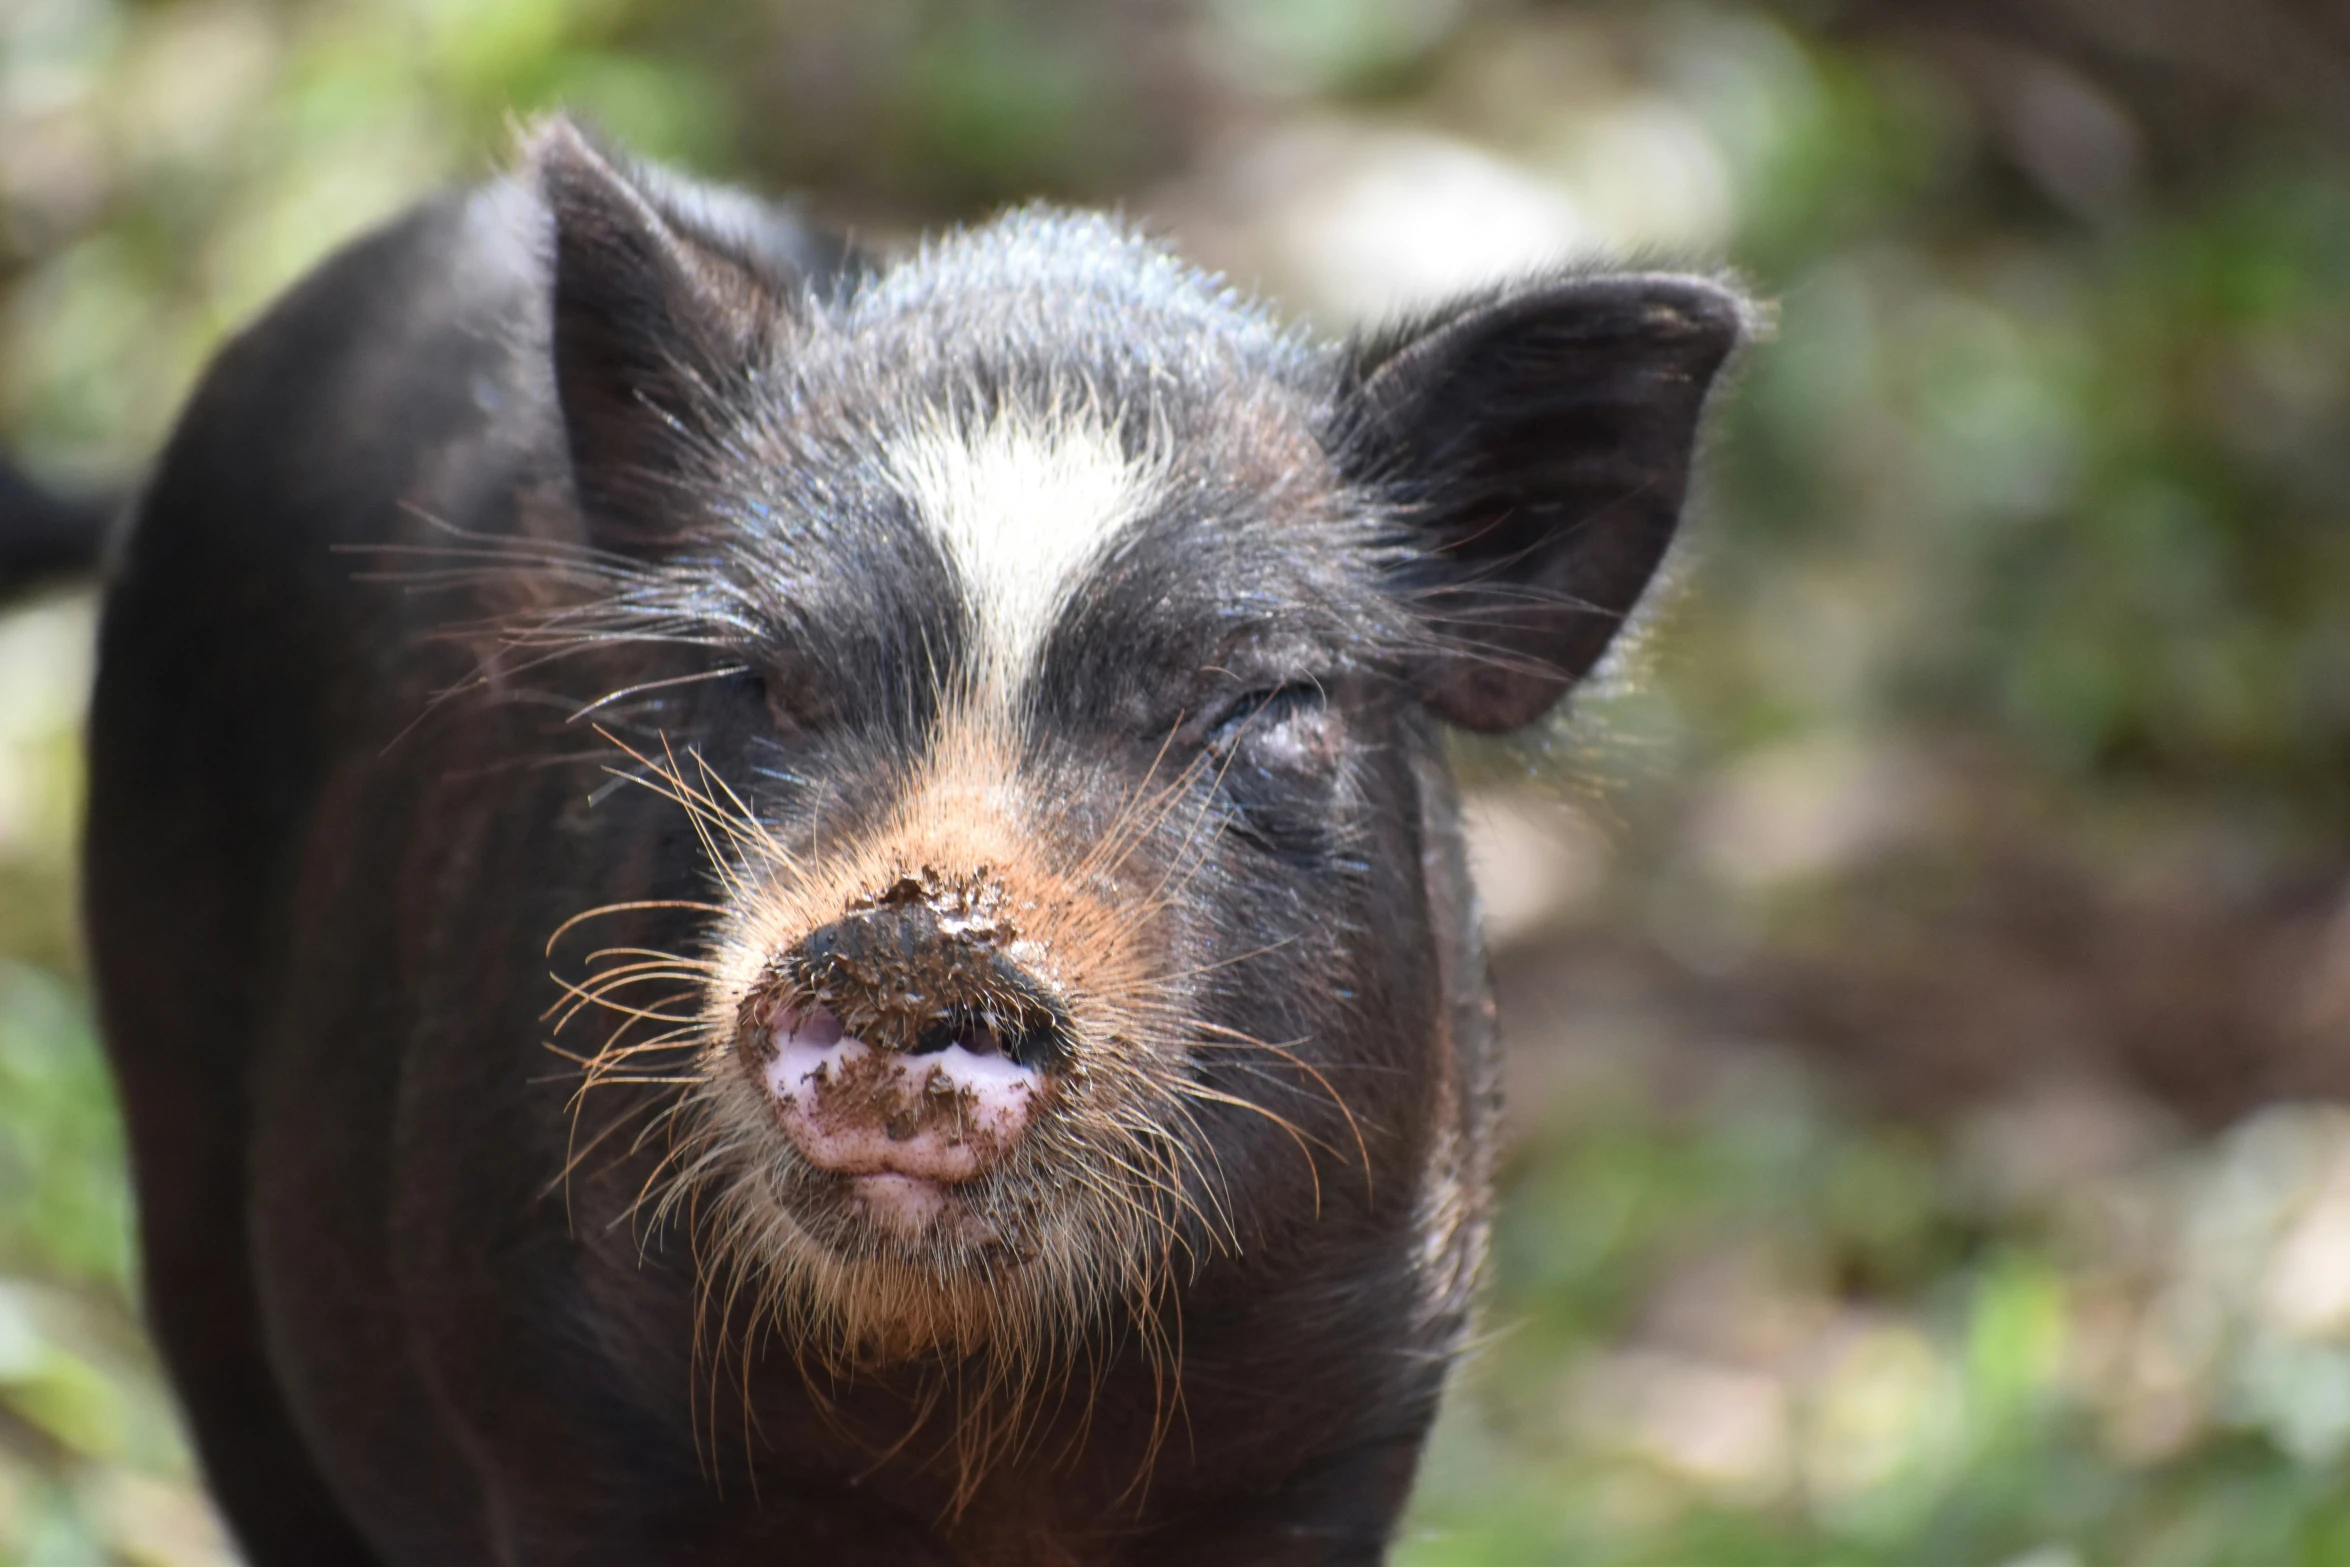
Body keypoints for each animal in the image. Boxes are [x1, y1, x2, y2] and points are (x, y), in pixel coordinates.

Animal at [78, 122, 1748, 1567]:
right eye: (759, 674)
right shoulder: (554, 1403)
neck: (968, 1430)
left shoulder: (1354, 1407)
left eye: (1265, 698)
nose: (907, 930)